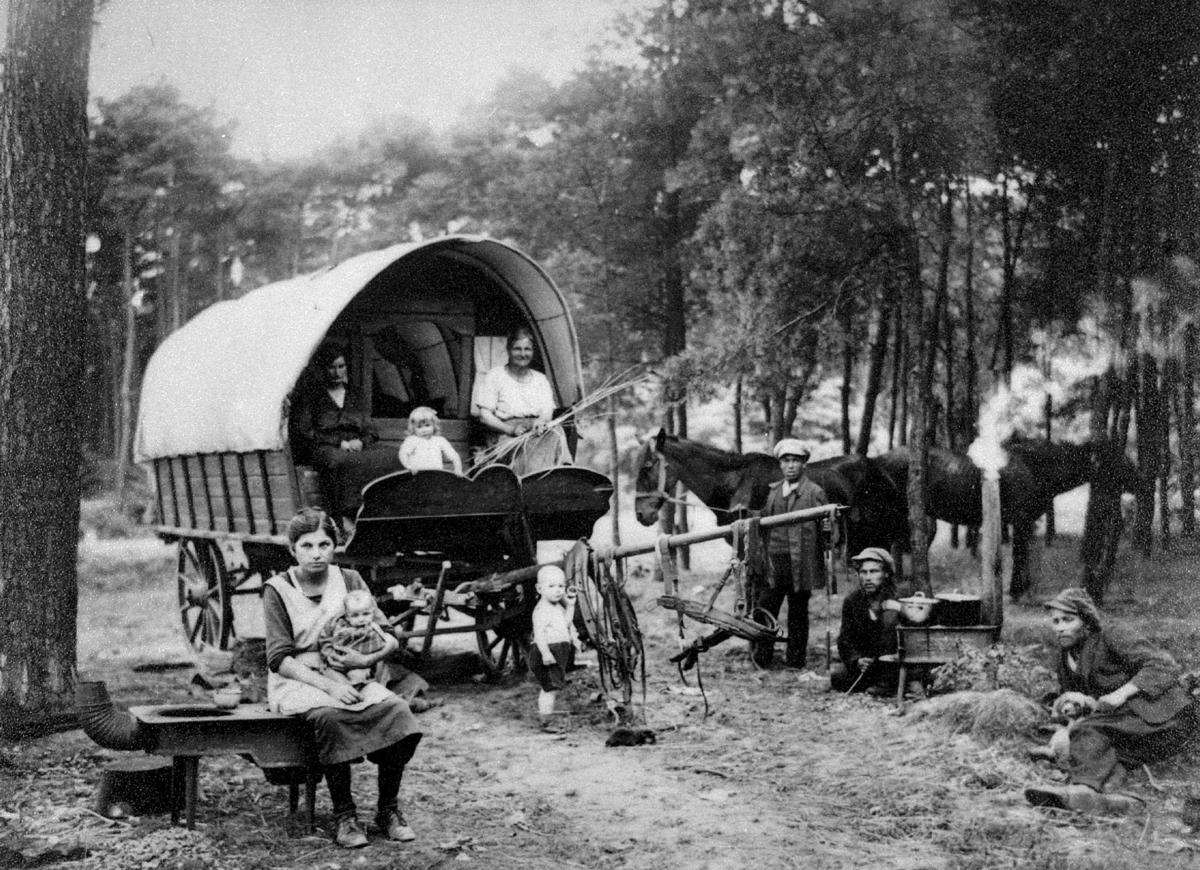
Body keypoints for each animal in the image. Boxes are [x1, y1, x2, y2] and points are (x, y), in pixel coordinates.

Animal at [868, 441, 1137, 597]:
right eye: (1117, 458)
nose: (1140, 477)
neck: (1035, 466)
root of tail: (878, 459)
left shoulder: (1025, 522)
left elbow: (1024, 553)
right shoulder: (1020, 519)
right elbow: (1019, 553)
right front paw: (1016, 589)